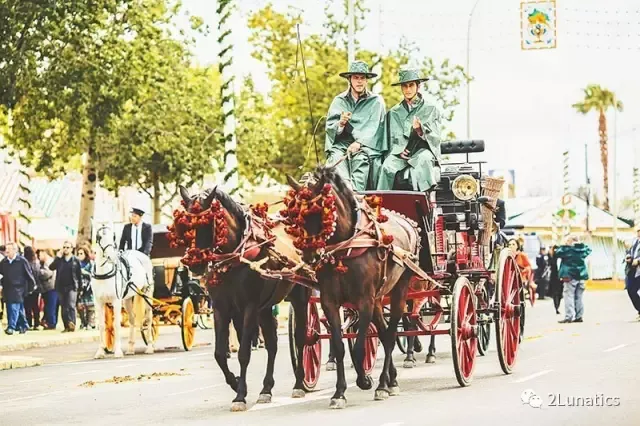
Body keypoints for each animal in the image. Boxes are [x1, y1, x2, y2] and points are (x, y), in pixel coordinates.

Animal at [92, 224, 155, 359]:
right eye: (99, 237)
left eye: (113, 236)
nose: (111, 256)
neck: (104, 274)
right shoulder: (98, 302)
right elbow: (102, 326)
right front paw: (100, 352)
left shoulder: (116, 301)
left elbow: (116, 325)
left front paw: (118, 351)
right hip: (127, 299)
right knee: (132, 319)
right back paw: (131, 348)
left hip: (147, 293)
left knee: (149, 318)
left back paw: (150, 347)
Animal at [175, 185, 310, 412]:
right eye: (184, 225)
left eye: (209, 222)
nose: (195, 263)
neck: (234, 257)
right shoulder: (222, 308)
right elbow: (220, 354)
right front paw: (236, 382)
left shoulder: (249, 307)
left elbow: (244, 352)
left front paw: (239, 396)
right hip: (265, 308)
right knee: (272, 344)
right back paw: (266, 389)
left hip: (300, 297)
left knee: (301, 339)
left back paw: (299, 384)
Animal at [284, 166, 421, 409]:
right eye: (295, 215)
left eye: (322, 213)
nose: (310, 256)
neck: (345, 247)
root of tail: (409, 224)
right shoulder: (330, 301)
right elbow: (339, 346)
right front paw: (339, 393)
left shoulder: (364, 300)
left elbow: (358, 347)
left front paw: (365, 380)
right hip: (378, 299)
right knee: (384, 333)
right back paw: (391, 379)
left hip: (400, 289)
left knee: (391, 335)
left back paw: (383, 385)